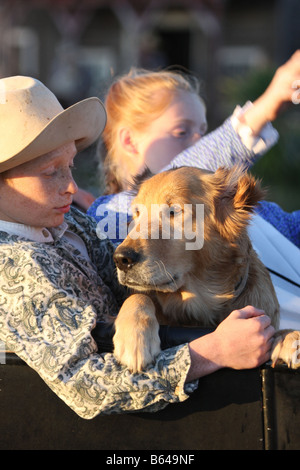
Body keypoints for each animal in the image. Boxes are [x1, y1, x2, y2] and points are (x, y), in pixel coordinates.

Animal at [113, 167, 300, 372]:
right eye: (137, 213)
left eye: (173, 211)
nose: (121, 259)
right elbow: (139, 296)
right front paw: (135, 339)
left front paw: (289, 338)